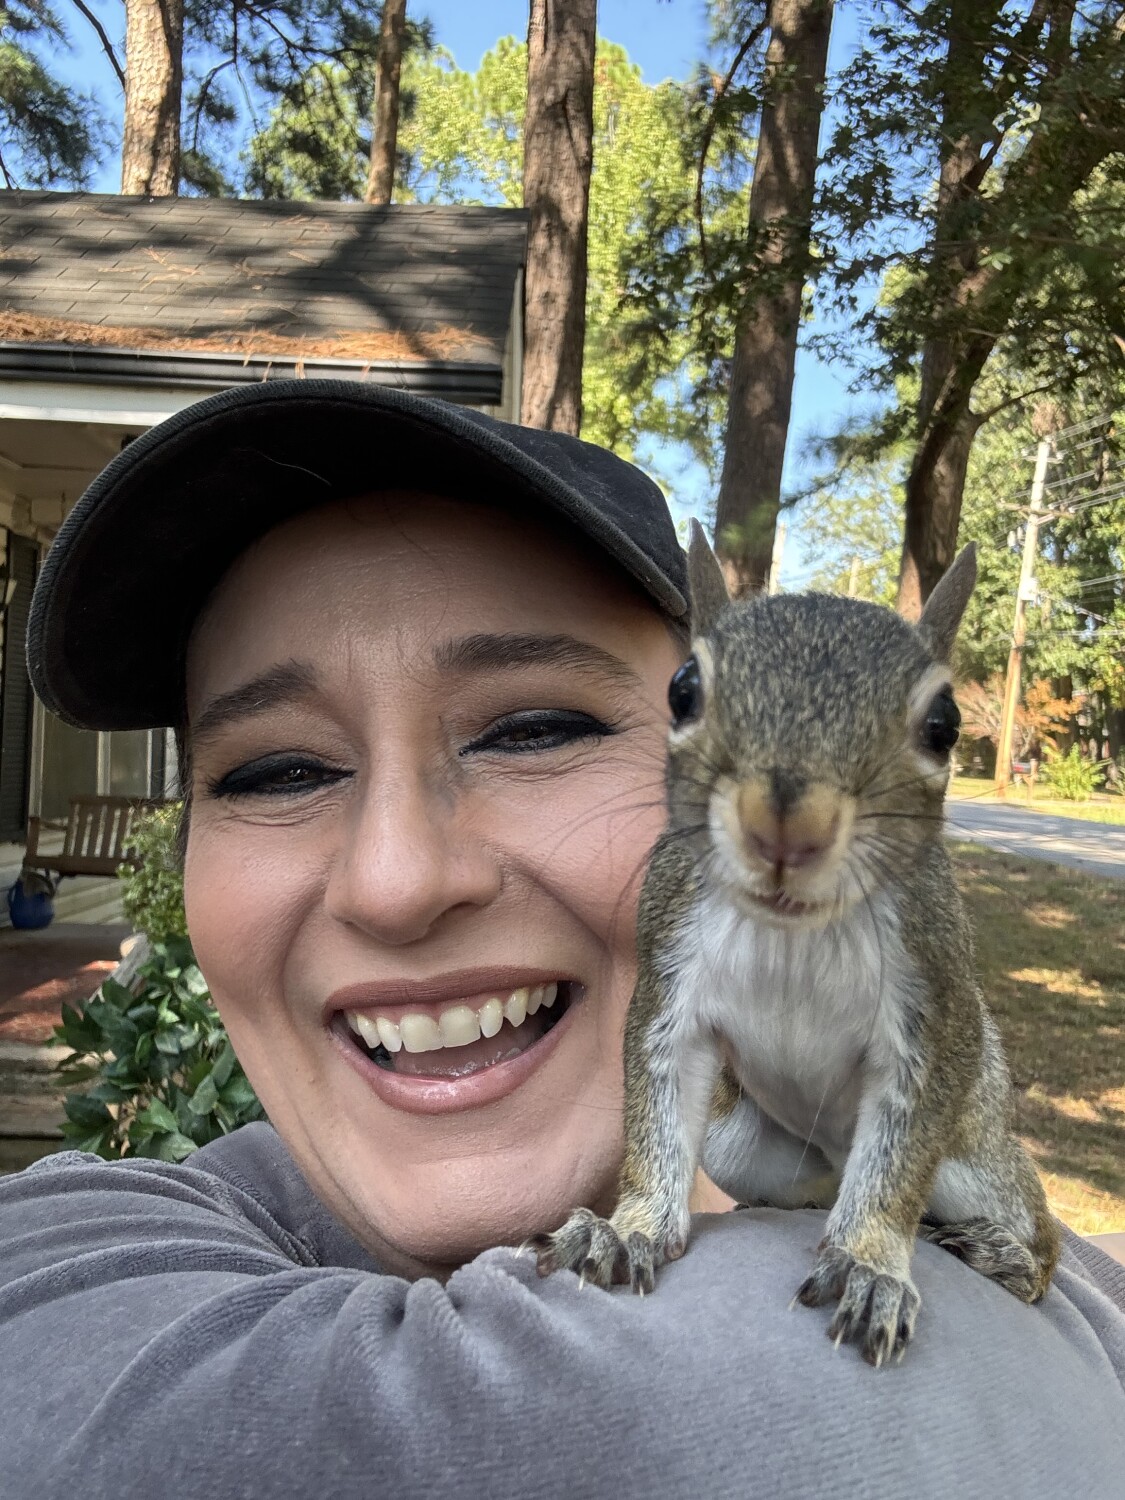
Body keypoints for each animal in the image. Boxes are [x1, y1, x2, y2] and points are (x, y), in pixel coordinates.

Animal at [532, 522, 1060, 1367]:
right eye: (683, 690)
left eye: (943, 725)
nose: (785, 823)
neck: (793, 928)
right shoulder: (668, 980)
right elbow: (656, 1120)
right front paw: (629, 1229)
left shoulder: (934, 1010)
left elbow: (898, 1166)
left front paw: (869, 1266)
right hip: (740, 1144)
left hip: (973, 1159)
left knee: (1026, 1225)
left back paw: (1005, 1255)